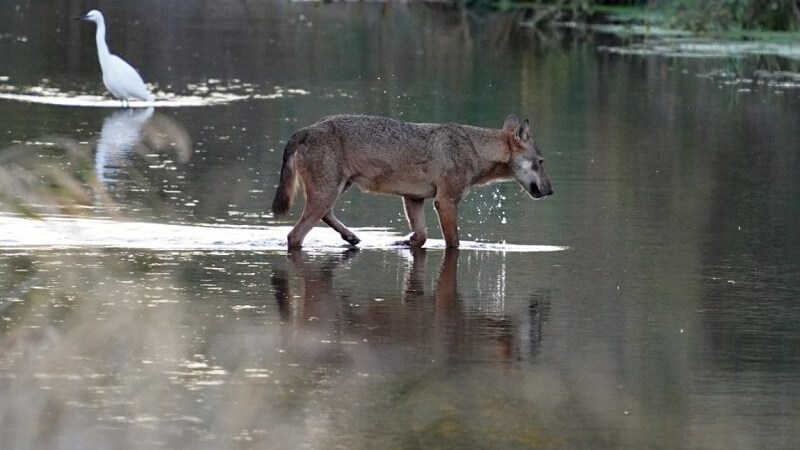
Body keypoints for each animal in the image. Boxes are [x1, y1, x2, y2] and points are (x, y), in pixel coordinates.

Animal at [271, 114, 553, 249]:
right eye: (540, 162)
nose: (551, 191)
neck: (474, 149)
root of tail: (306, 129)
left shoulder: (414, 199)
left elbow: (422, 236)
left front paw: (404, 241)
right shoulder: (445, 202)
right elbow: (453, 242)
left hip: (336, 190)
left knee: (325, 216)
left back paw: (351, 237)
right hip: (326, 194)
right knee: (294, 236)